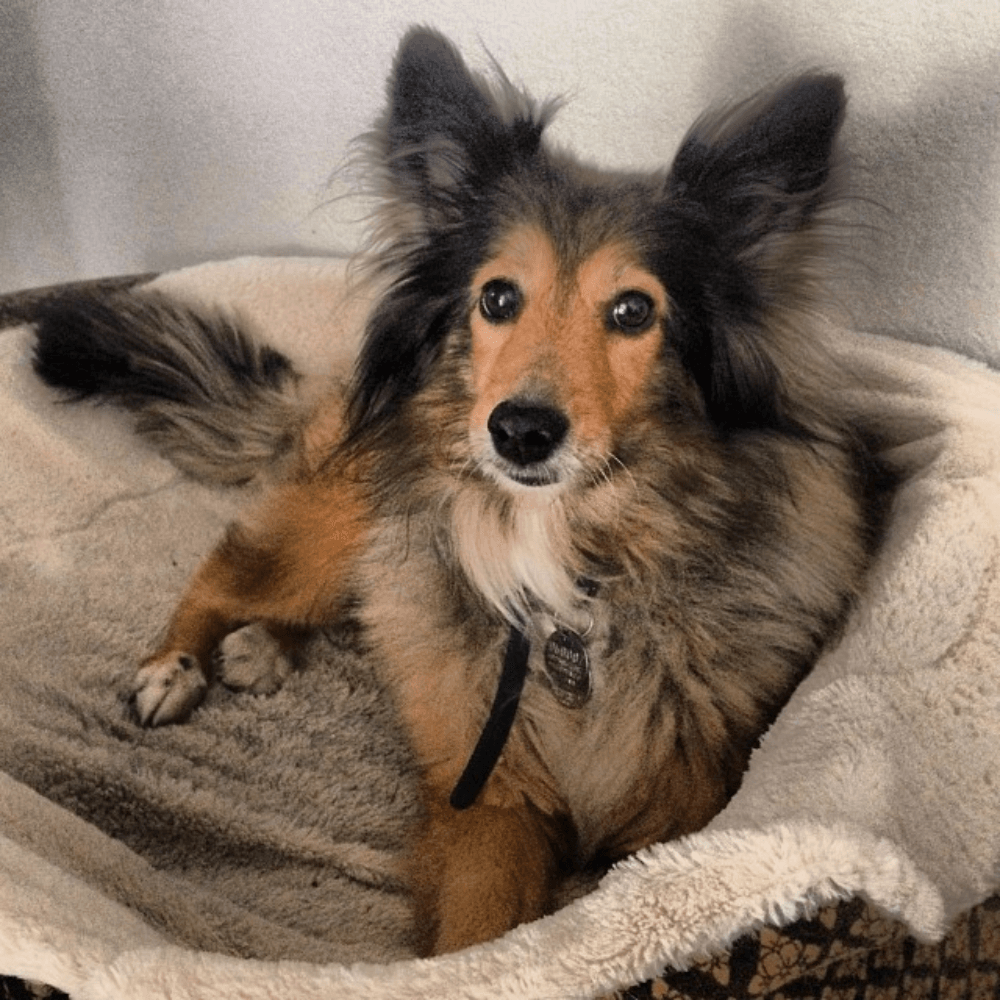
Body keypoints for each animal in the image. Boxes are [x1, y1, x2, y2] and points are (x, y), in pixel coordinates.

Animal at [31, 27, 896, 956]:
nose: (520, 431)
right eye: (498, 297)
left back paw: (262, 649)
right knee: (231, 567)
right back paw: (175, 666)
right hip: (339, 523)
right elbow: (479, 940)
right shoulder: (489, 802)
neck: (568, 568)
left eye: (633, 311)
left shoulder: (682, 817)